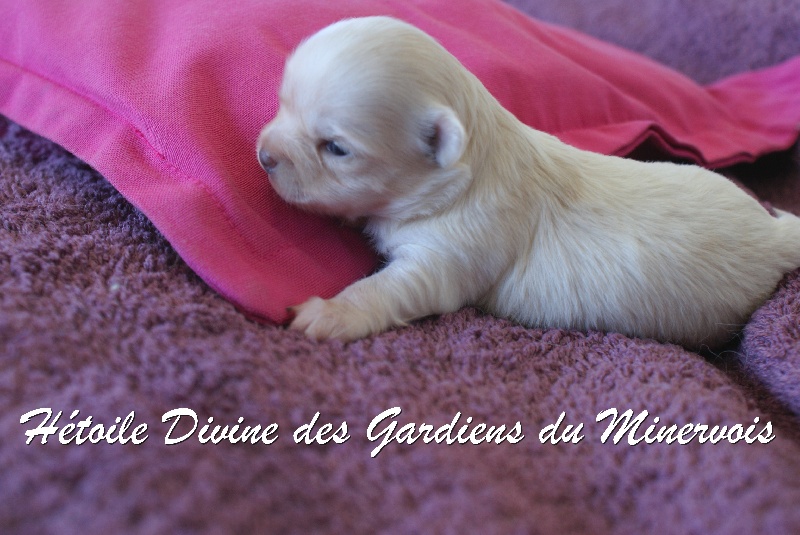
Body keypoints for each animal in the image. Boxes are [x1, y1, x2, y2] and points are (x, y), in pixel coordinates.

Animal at [256, 16, 800, 349]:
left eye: (336, 148)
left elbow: (389, 288)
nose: (263, 156)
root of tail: (774, 235)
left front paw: (329, 313)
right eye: (281, 102)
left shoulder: (449, 256)